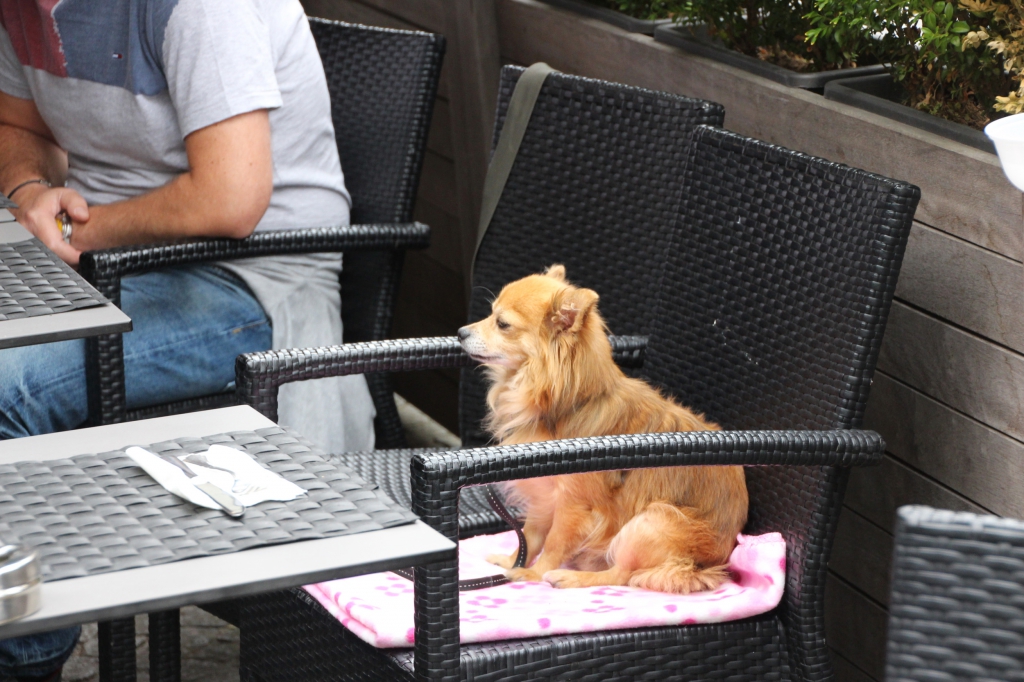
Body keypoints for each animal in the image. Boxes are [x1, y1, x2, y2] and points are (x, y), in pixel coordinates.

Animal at [457, 265, 748, 593]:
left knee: (622, 575)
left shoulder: (573, 505)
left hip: (653, 521)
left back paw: (571, 577)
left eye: (502, 323)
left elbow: (554, 543)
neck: (568, 405)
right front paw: (512, 562)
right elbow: (530, 536)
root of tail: (707, 565)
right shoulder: (544, 495)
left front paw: (532, 575)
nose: (460, 332)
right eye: (490, 314)